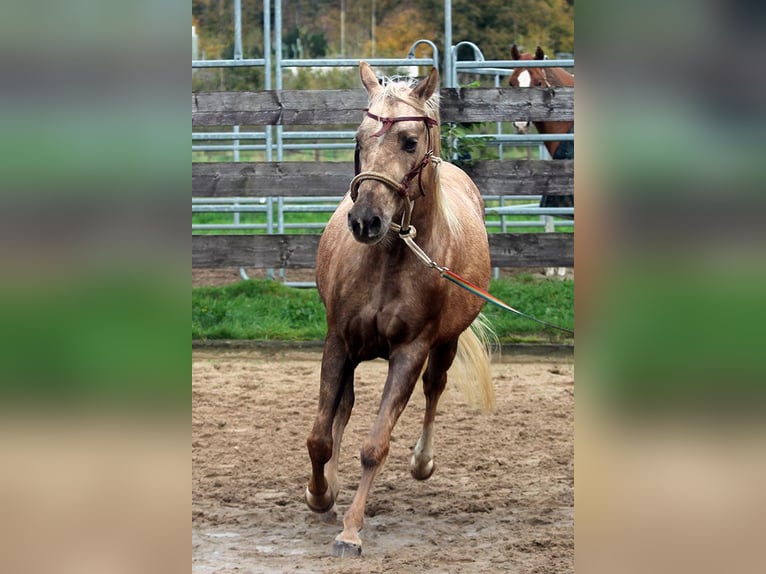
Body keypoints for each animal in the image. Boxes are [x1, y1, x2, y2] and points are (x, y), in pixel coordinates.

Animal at [308, 62, 498, 560]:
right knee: (342, 408)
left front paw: (351, 531)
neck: (391, 257)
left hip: (445, 344)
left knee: (435, 388)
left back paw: (422, 461)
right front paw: (319, 494)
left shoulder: (410, 353)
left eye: (410, 141)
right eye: (359, 139)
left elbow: (376, 445)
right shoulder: (338, 342)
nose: (365, 220)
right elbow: (320, 435)